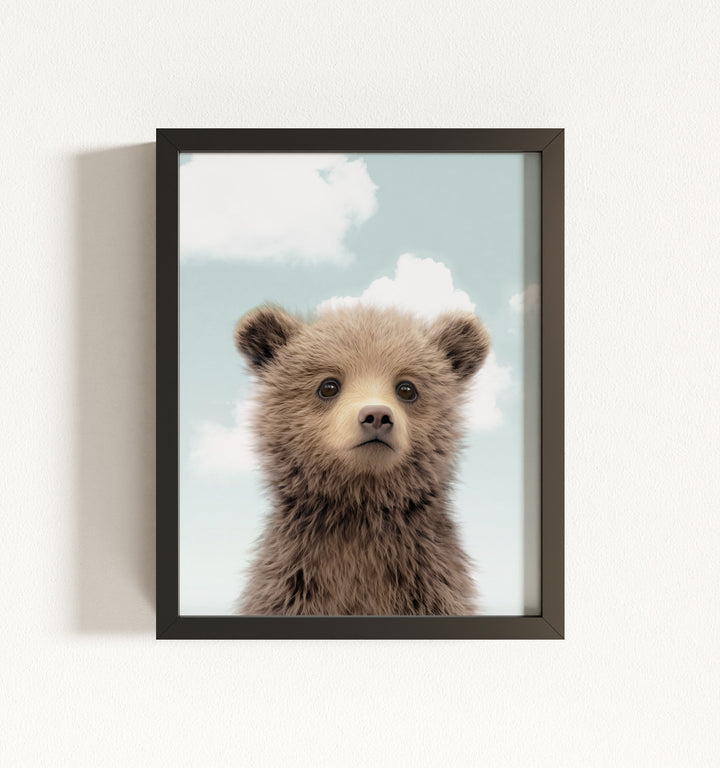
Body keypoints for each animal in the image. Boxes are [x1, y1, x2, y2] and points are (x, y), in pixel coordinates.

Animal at [233, 303, 490, 615]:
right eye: (328, 386)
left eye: (407, 388)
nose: (377, 416)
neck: (359, 510)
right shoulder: (293, 583)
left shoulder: (429, 584)